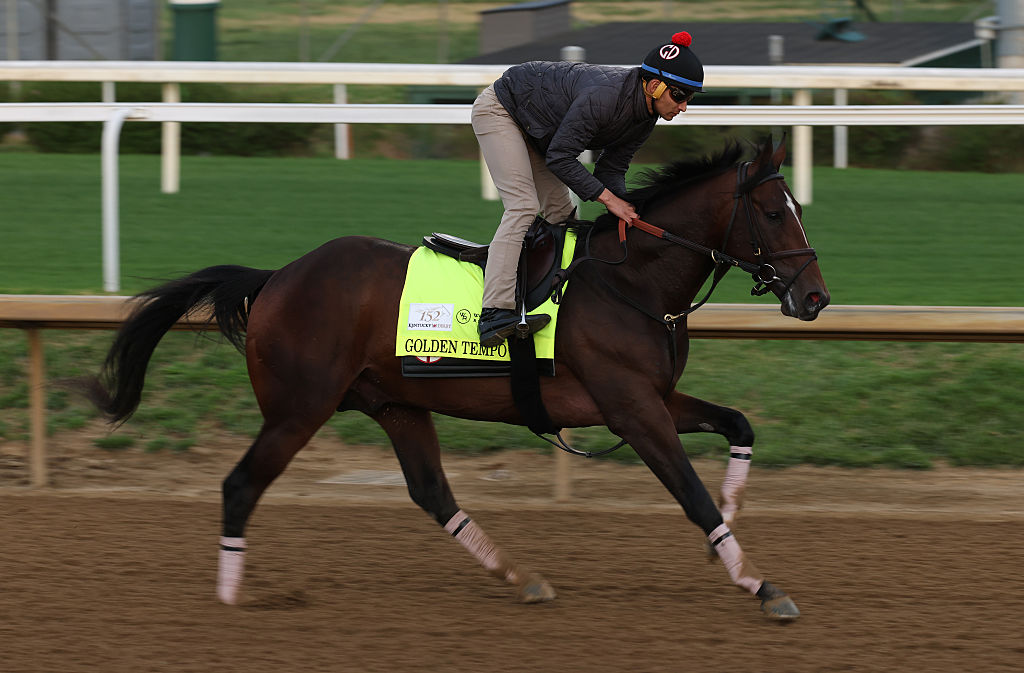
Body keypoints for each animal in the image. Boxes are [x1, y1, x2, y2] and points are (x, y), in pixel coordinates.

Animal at [80, 137, 828, 621]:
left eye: (799, 208)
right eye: (772, 213)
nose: (816, 297)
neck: (632, 283)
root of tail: (276, 278)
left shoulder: (657, 397)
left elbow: (738, 424)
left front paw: (736, 515)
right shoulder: (631, 409)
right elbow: (692, 497)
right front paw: (759, 583)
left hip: (396, 403)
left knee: (431, 491)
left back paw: (521, 576)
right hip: (298, 408)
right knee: (240, 485)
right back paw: (233, 597)